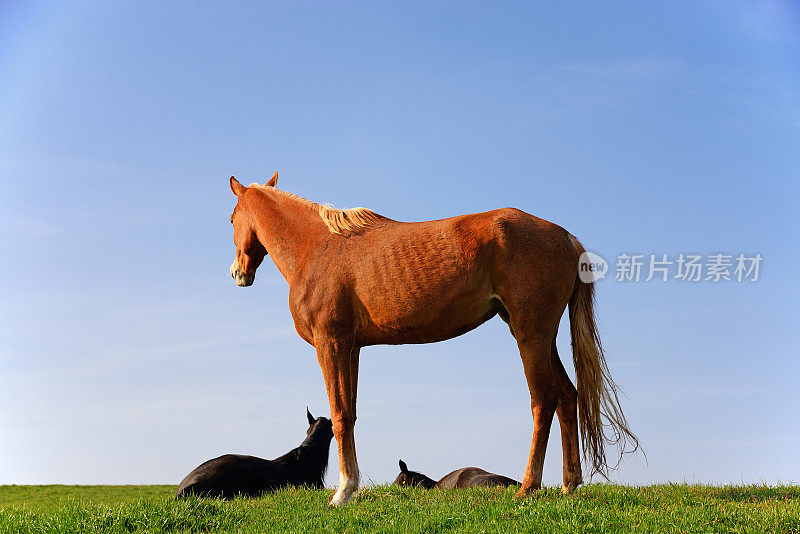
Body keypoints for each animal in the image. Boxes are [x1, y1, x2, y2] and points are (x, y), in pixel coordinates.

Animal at [227, 173, 636, 506]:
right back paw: (569, 483)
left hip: (530, 333)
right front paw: (352, 488)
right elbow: (352, 413)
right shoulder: (351, 349)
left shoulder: (332, 345)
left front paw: (343, 492)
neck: (319, 248)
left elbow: (341, 414)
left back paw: (528, 487)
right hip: (539, 335)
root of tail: (566, 238)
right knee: (567, 396)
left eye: (232, 219)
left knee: (544, 400)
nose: (237, 273)